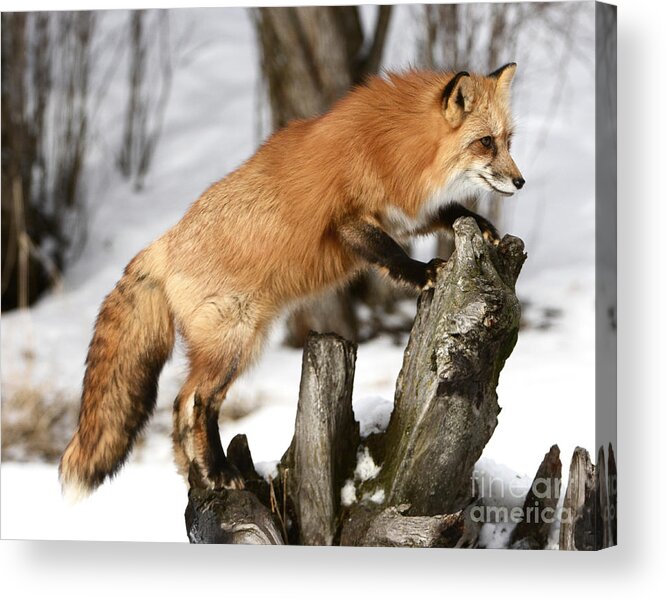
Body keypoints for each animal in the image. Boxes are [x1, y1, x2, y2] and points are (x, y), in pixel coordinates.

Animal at [58, 63, 524, 500]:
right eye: (485, 142)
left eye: (508, 141)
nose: (520, 181)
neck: (394, 147)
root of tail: (164, 243)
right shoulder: (348, 221)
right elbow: (390, 253)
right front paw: (422, 272)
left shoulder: (405, 212)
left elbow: (451, 212)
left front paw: (484, 228)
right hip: (234, 342)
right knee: (194, 403)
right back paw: (218, 472)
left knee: (178, 410)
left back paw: (196, 472)